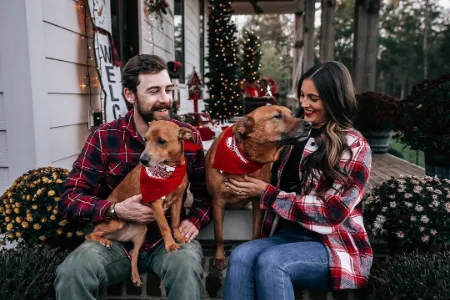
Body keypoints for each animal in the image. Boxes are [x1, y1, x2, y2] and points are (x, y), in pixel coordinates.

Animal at [85, 119, 192, 286]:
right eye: (145, 139)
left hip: (141, 233)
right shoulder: (156, 204)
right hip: (115, 223)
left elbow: (174, 222)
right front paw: (170, 245)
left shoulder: (178, 200)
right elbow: (165, 226)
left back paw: (135, 276)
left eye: (162, 141)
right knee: (90, 235)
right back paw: (103, 241)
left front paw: (179, 237)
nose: (143, 160)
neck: (169, 169)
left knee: (133, 254)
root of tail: (116, 237)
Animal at [206, 105, 312, 270]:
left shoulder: (257, 202)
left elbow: (256, 231)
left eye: (291, 114)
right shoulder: (218, 202)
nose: (309, 125)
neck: (245, 159)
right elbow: (219, 234)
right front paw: (219, 256)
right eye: (277, 116)